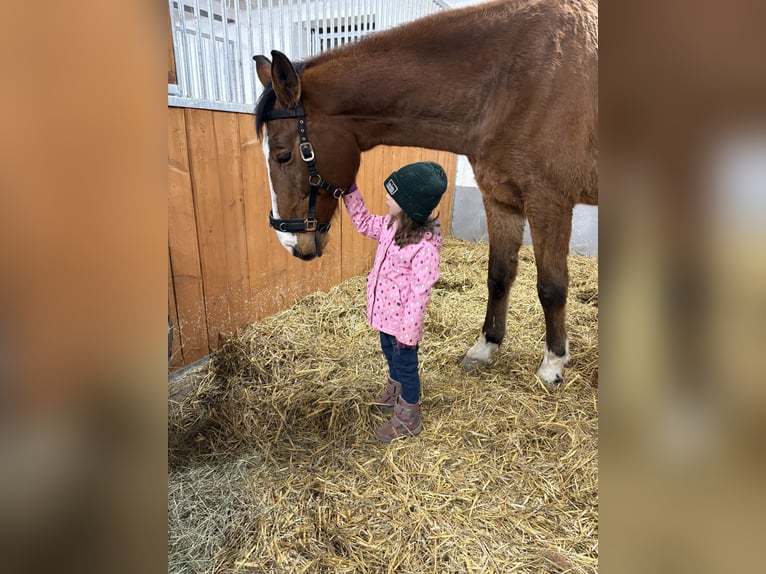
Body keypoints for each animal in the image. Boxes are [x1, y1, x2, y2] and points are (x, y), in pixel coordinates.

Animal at [253, 0, 598, 385]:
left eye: (283, 155)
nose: (291, 243)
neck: (512, 80)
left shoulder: (548, 203)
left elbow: (551, 287)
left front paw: (553, 362)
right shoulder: (500, 199)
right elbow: (499, 275)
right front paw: (486, 346)